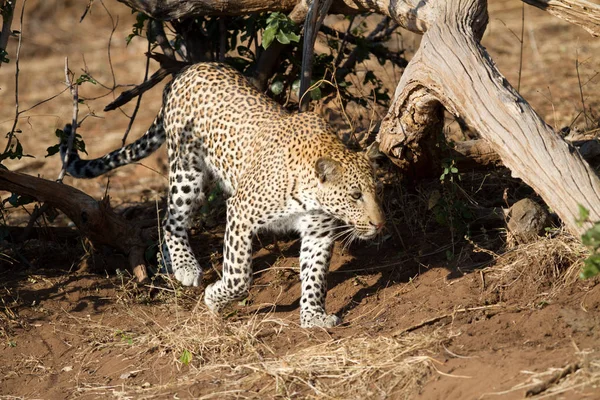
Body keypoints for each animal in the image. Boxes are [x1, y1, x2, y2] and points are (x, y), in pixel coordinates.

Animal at [61, 61, 386, 326]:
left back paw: (168, 267)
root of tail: (186, 70)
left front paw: (313, 315)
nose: (379, 224)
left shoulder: (318, 232)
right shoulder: (241, 211)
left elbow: (315, 275)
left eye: (375, 191)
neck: (311, 195)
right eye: (355, 195)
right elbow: (239, 274)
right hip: (186, 168)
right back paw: (186, 267)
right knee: (172, 219)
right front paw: (215, 297)